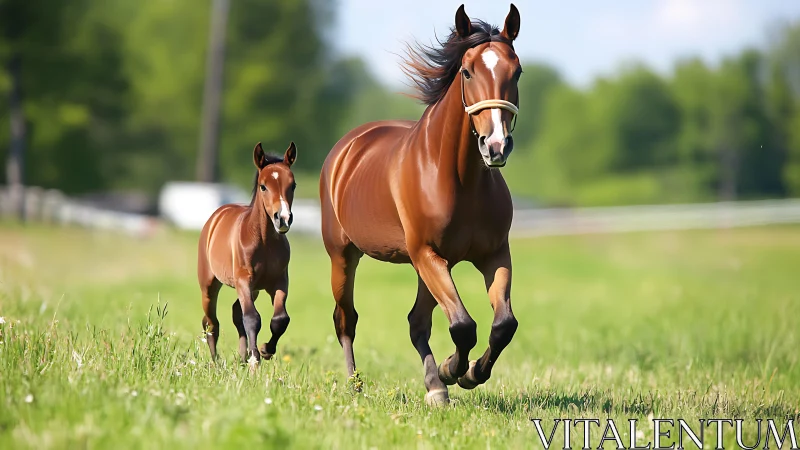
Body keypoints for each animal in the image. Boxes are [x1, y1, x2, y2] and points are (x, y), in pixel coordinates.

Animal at [197, 142, 298, 364]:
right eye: (263, 186)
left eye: (293, 185)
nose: (283, 218)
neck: (265, 242)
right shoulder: (244, 279)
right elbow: (252, 318)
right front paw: (255, 359)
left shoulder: (279, 282)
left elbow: (280, 318)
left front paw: (265, 350)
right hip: (209, 284)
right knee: (211, 322)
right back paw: (216, 362)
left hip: (255, 289)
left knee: (236, 312)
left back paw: (242, 358)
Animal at [319, 4, 521, 405]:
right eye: (467, 71)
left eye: (517, 70)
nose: (496, 146)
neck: (459, 179)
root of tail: (347, 147)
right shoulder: (427, 253)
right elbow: (463, 325)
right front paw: (453, 370)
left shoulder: (492, 254)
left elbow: (503, 324)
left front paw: (467, 373)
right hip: (344, 255)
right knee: (346, 319)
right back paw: (357, 384)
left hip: (424, 266)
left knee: (417, 322)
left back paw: (434, 386)